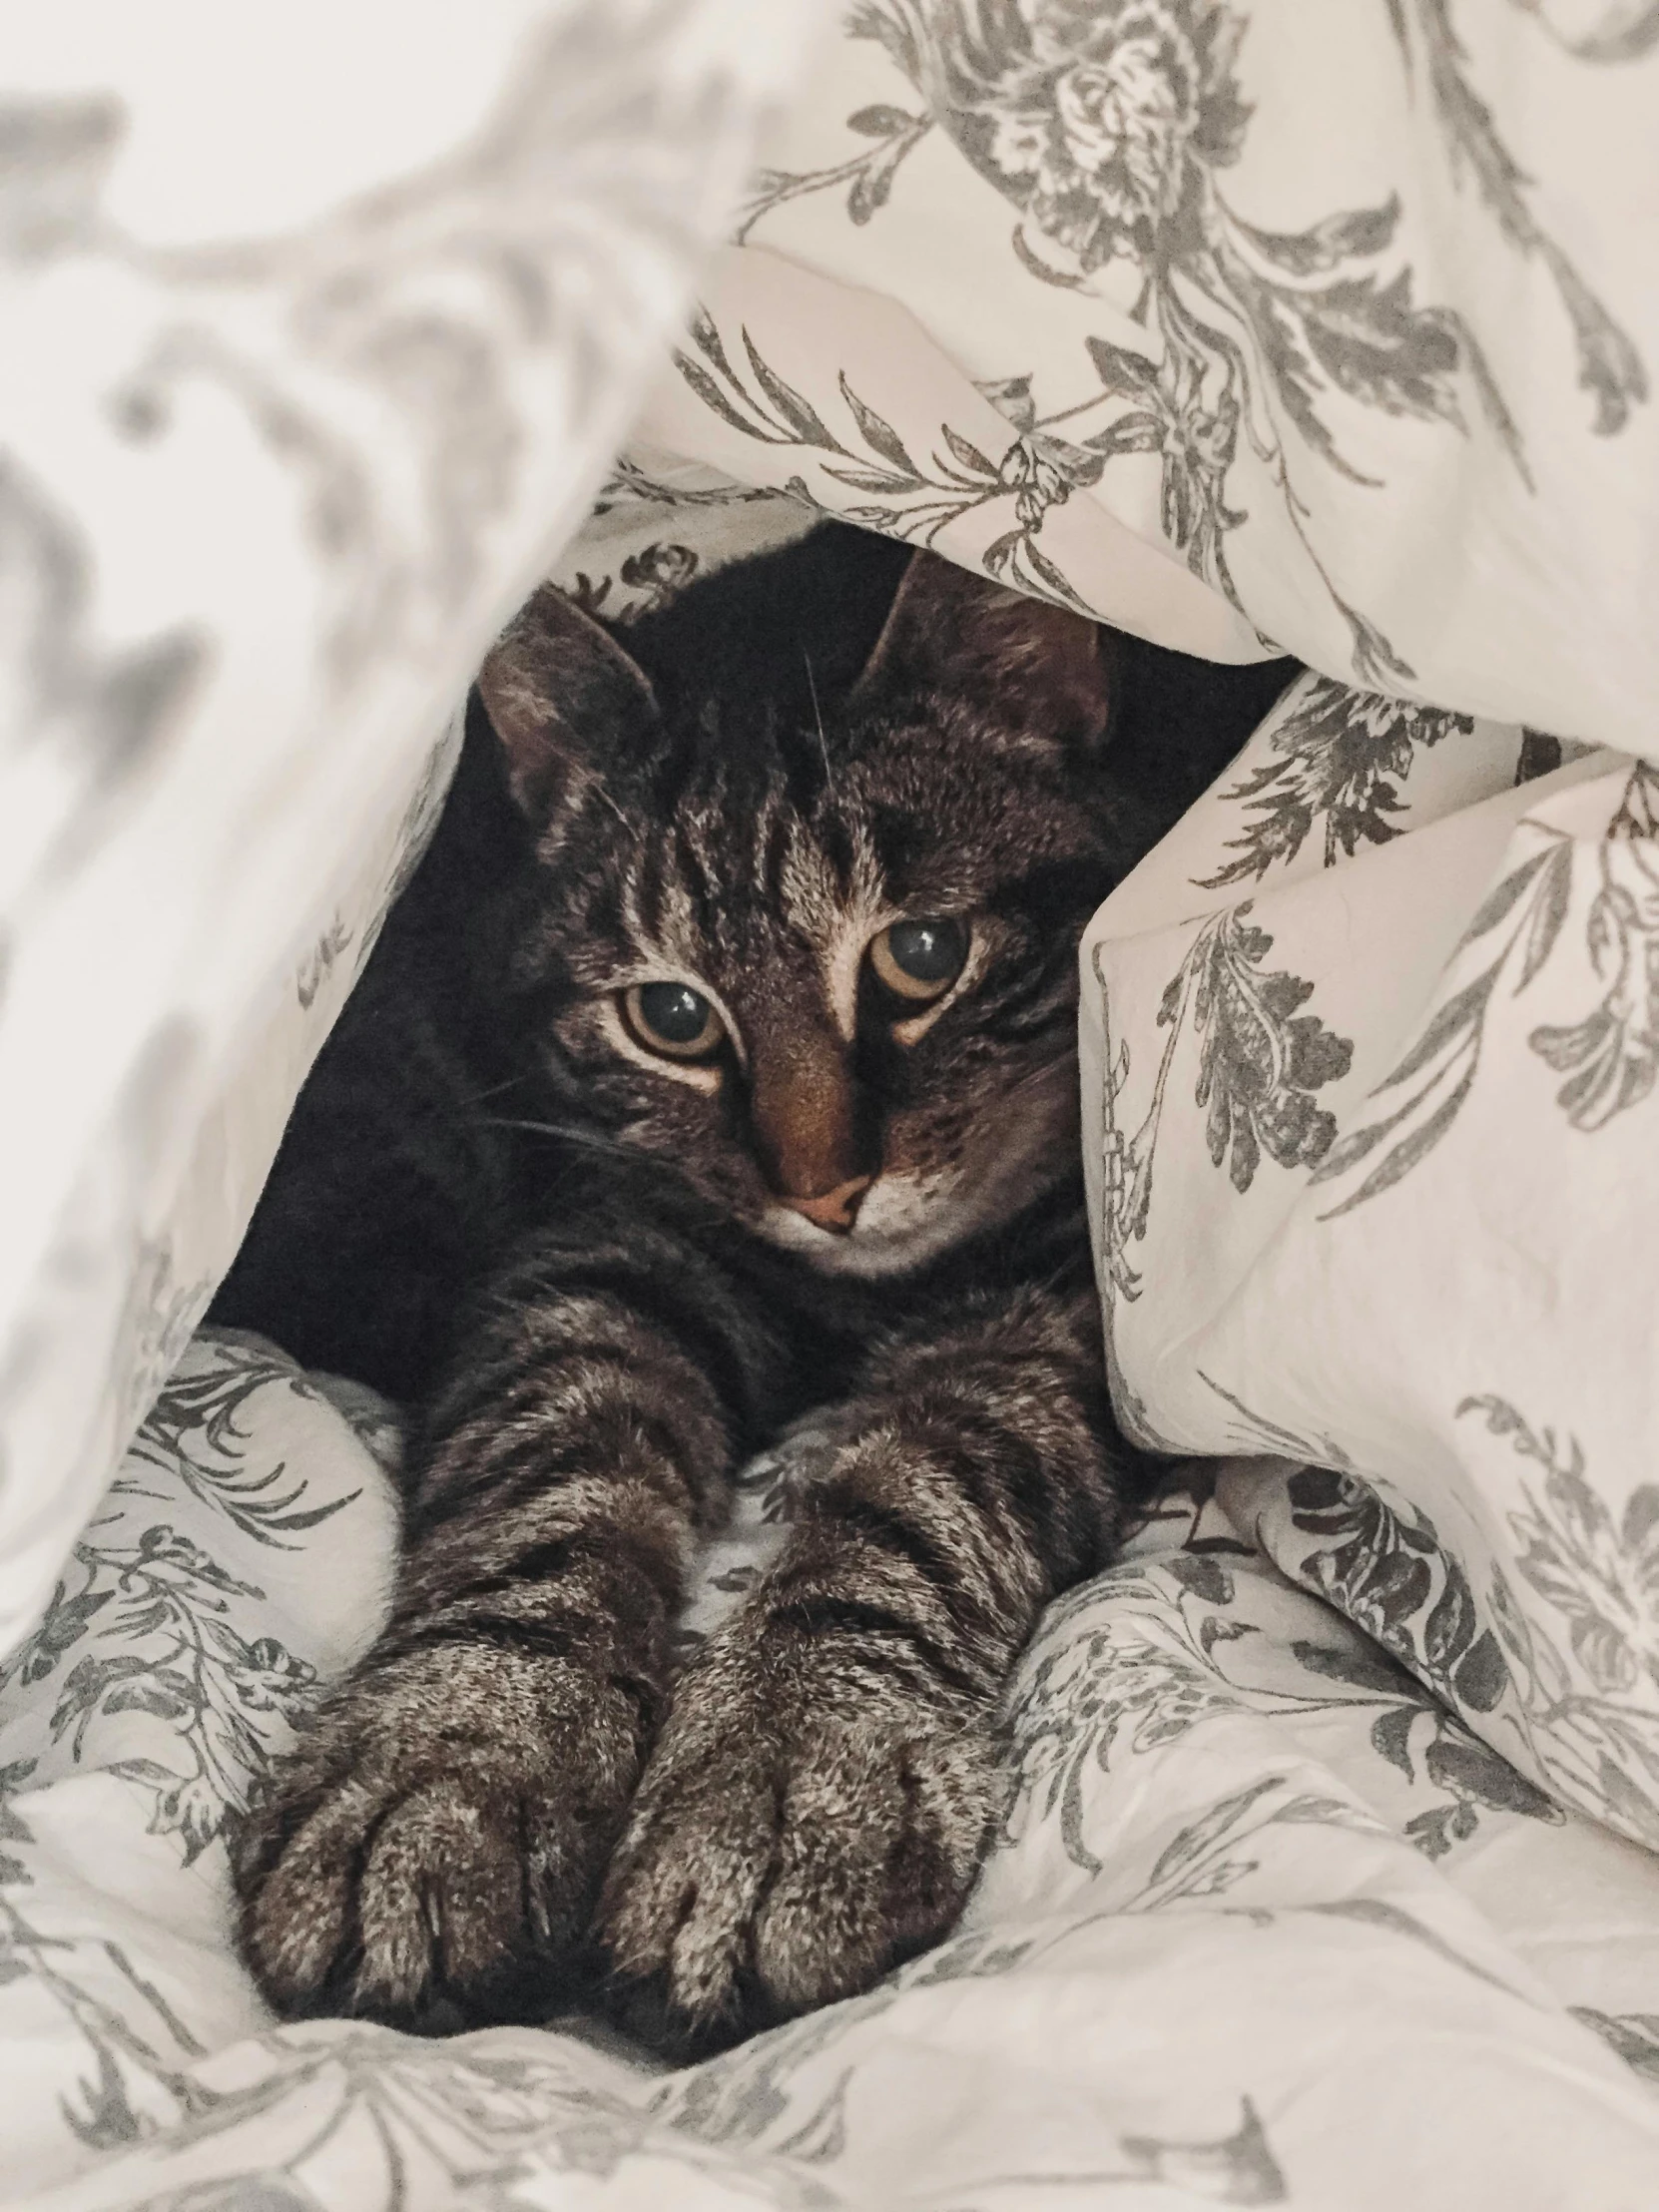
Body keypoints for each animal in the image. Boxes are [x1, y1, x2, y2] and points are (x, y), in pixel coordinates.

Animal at [211, 521, 1301, 2052]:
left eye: (921, 955)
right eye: (671, 1015)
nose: (823, 1191)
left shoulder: (1066, 1291)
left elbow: (918, 1485)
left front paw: (789, 1763)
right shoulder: (611, 1256)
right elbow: (548, 1480)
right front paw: (450, 1756)